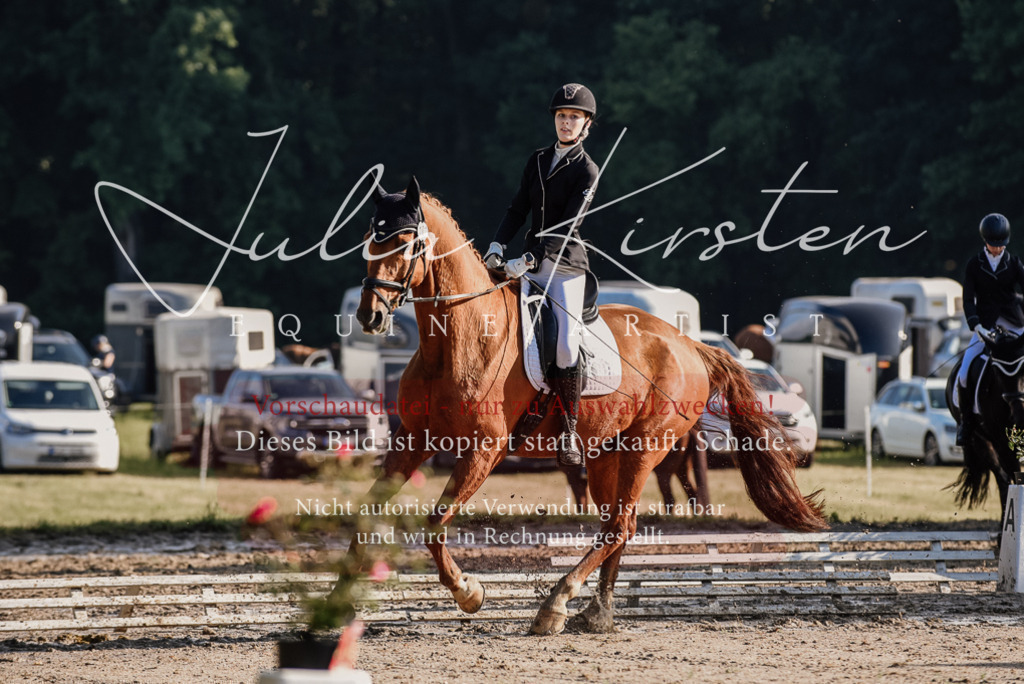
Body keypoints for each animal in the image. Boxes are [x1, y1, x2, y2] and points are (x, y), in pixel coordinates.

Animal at [348, 176, 825, 634]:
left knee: (618, 526)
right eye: (370, 240)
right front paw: (342, 601)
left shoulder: (484, 450)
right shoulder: (414, 437)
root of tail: (689, 343)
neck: (454, 341)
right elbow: (366, 516)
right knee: (618, 527)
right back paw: (596, 612)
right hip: (604, 456)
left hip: (644, 447)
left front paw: (469, 592)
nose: (371, 316)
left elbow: (434, 523)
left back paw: (556, 604)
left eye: (406, 241)